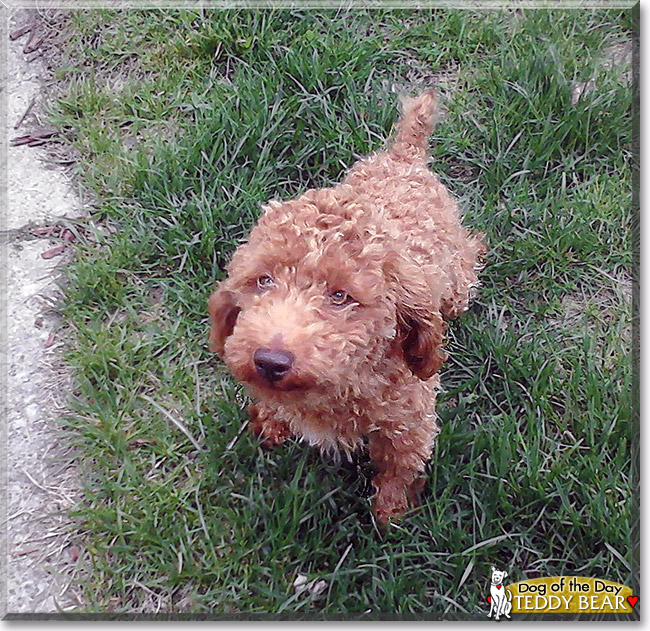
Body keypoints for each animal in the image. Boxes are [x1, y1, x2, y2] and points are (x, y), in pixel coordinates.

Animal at [206, 90, 480, 524]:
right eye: (263, 280)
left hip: (456, 277)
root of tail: (404, 158)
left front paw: (390, 513)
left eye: (340, 296)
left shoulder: (409, 421)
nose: (269, 361)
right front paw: (271, 419)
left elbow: (399, 465)